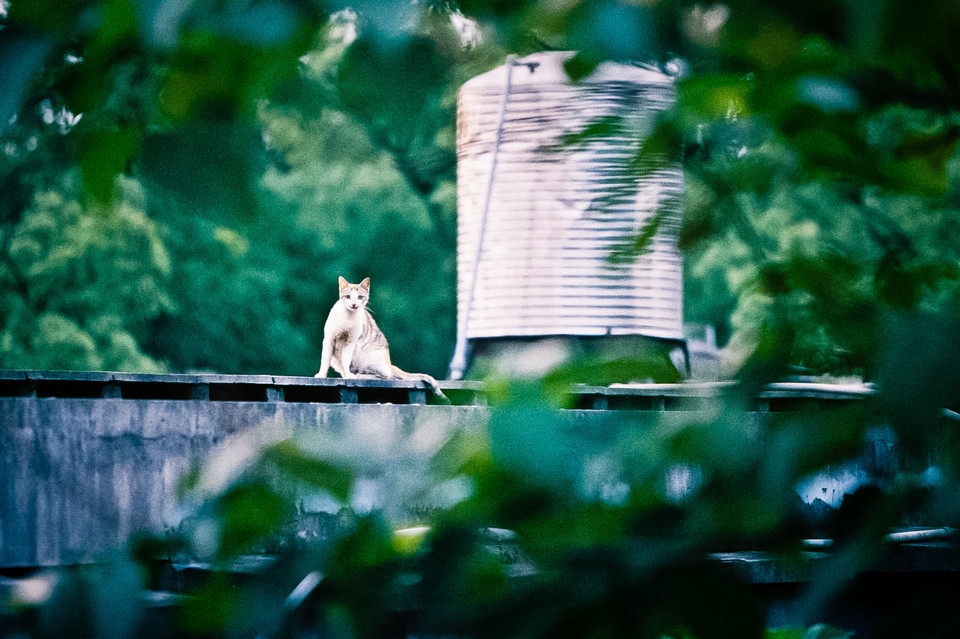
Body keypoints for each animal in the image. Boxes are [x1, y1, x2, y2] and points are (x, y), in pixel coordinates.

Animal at [316, 278, 448, 402]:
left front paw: (349, 376)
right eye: (348, 296)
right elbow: (325, 360)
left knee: (387, 376)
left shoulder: (350, 342)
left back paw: (359, 375)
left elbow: (345, 361)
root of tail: (390, 364)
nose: (354, 304)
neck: (347, 317)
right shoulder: (329, 340)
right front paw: (321, 375)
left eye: (360, 297)